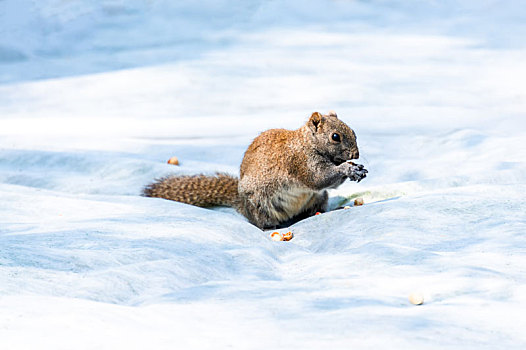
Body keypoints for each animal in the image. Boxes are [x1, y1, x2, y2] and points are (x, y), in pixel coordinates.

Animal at [142, 110, 370, 230]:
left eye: (353, 131)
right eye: (335, 137)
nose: (356, 154)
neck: (307, 143)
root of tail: (242, 204)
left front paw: (357, 169)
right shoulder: (301, 163)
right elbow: (319, 178)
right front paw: (349, 169)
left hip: (318, 198)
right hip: (261, 204)